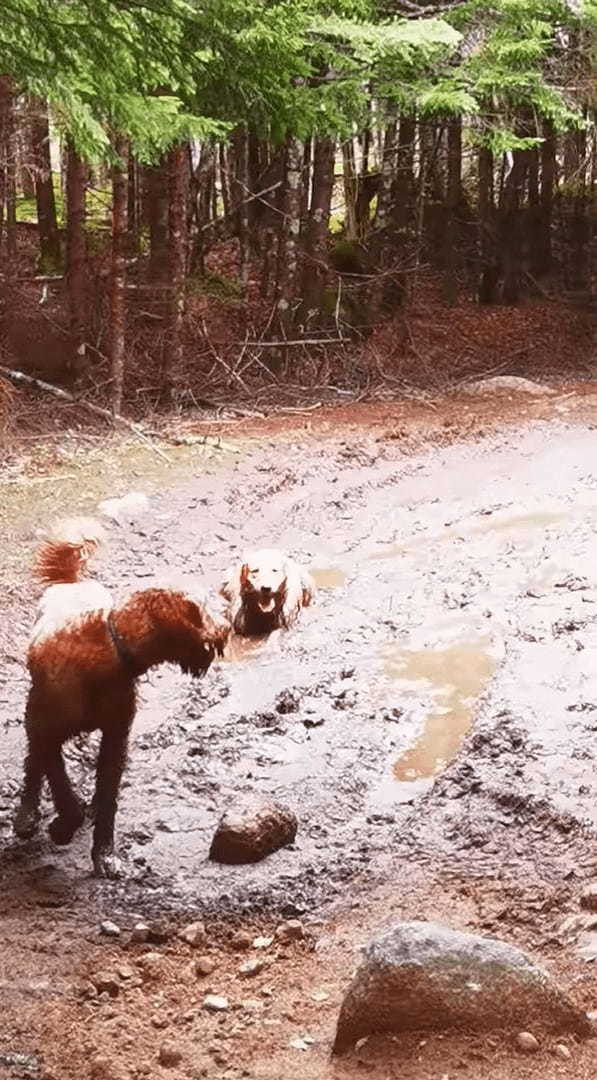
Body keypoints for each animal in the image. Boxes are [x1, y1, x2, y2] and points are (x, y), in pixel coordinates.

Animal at [13, 516, 228, 876]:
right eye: (200, 608)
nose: (227, 627)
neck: (112, 648)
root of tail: (72, 583)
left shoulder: (116, 736)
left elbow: (108, 798)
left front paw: (104, 853)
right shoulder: (47, 729)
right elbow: (58, 782)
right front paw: (63, 826)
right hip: (35, 715)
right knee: (34, 762)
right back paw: (27, 815)